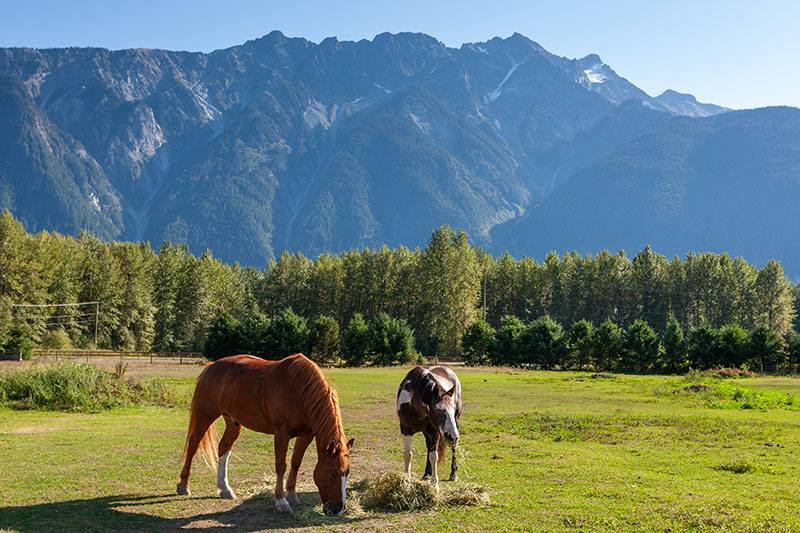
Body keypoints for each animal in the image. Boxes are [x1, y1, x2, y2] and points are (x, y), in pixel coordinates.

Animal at [176, 353, 354, 516]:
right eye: (332, 473)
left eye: (347, 472)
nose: (339, 509)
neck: (300, 391)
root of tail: (211, 366)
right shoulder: (282, 432)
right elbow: (281, 465)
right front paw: (281, 501)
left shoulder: (307, 434)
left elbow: (296, 462)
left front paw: (292, 495)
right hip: (205, 415)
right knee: (193, 444)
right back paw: (183, 485)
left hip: (233, 422)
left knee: (223, 448)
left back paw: (225, 489)